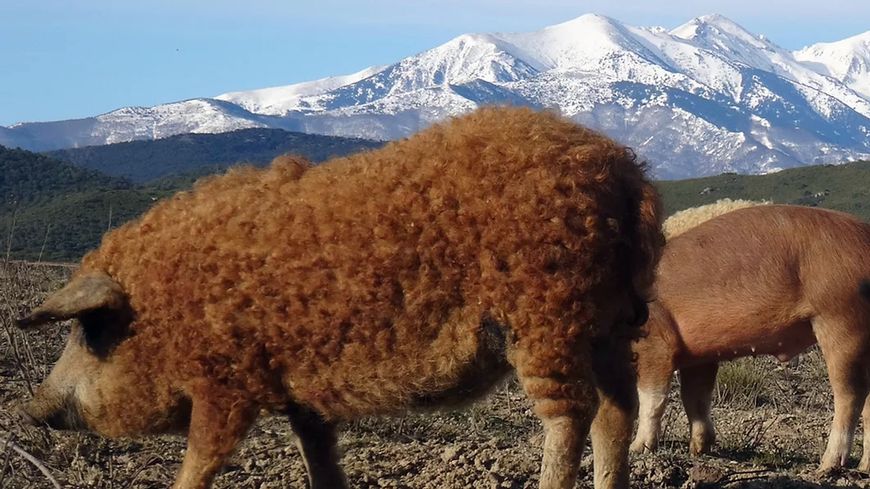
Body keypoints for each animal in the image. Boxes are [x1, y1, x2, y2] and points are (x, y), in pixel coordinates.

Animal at [17, 107, 664, 488]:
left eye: (87, 331)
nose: (29, 407)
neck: (163, 309)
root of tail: (624, 170)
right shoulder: (299, 392)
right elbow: (318, 455)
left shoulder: (226, 382)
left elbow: (202, 459)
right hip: (610, 323)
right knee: (616, 410)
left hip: (546, 317)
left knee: (572, 414)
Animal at [632, 204, 870, 470]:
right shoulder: (698, 355)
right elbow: (695, 397)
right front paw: (698, 450)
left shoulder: (657, 343)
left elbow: (652, 399)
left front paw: (637, 450)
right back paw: (863, 467)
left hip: (841, 319)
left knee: (851, 394)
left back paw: (826, 467)